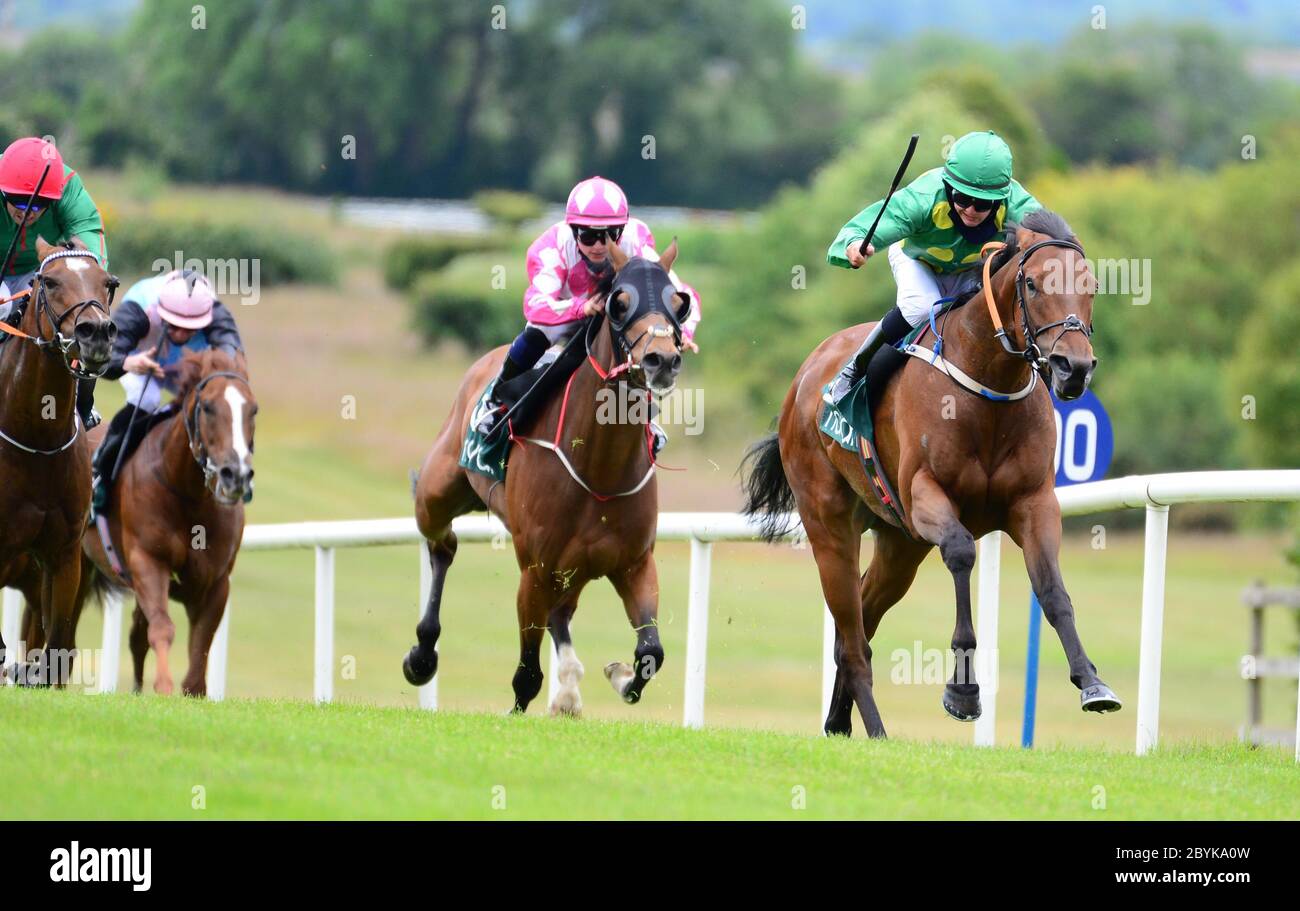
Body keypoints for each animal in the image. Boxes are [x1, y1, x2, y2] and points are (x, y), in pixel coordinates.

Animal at [0, 237, 118, 686]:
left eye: (108, 282)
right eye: (49, 282)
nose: (96, 332)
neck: (36, 438)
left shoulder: (64, 556)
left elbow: (56, 650)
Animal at [405, 237, 696, 712]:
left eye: (679, 302)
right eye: (618, 302)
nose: (662, 360)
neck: (599, 470)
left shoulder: (634, 564)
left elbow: (651, 652)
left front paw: (619, 676)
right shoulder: (536, 571)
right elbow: (526, 674)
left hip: (572, 571)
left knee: (562, 612)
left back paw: (570, 686)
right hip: (436, 493)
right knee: (442, 544)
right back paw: (422, 655)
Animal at [748, 209, 1123, 738]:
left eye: (1091, 285)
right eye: (1031, 283)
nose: (1074, 367)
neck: (987, 386)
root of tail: (805, 374)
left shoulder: (1034, 502)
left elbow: (1052, 590)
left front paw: (1092, 683)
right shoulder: (926, 495)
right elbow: (963, 552)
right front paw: (963, 691)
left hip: (899, 544)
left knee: (860, 621)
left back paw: (840, 721)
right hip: (830, 525)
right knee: (850, 631)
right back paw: (876, 728)